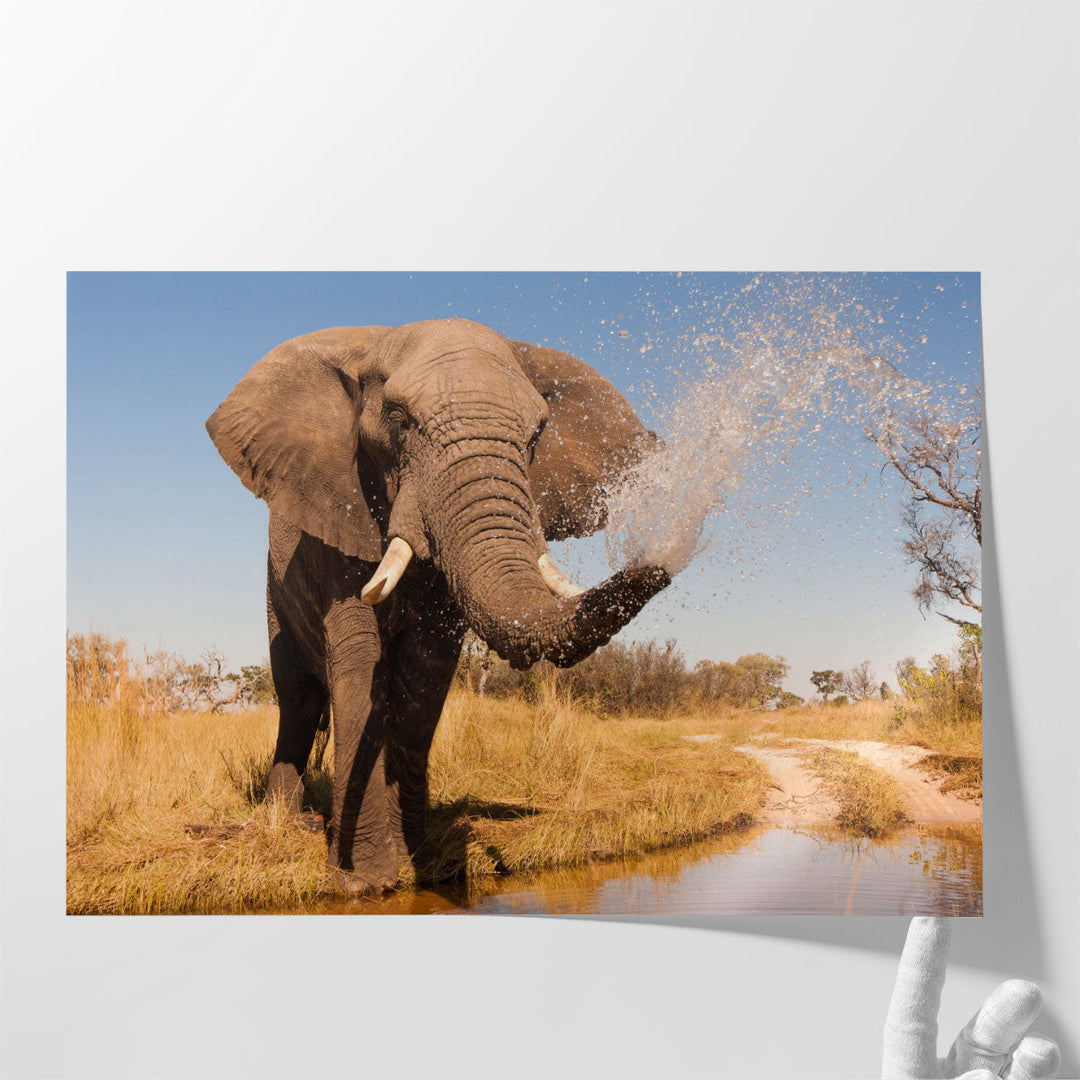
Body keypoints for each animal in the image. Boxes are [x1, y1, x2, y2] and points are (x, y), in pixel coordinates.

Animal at [206, 318, 671, 893]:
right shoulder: (338, 516)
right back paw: (287, 821)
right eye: (399, 421)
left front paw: (420, 862)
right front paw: (365, 881)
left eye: (536, 436)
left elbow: (425, 672)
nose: (663, 562)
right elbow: (359, 660)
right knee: (296, 699)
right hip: (275, 595)